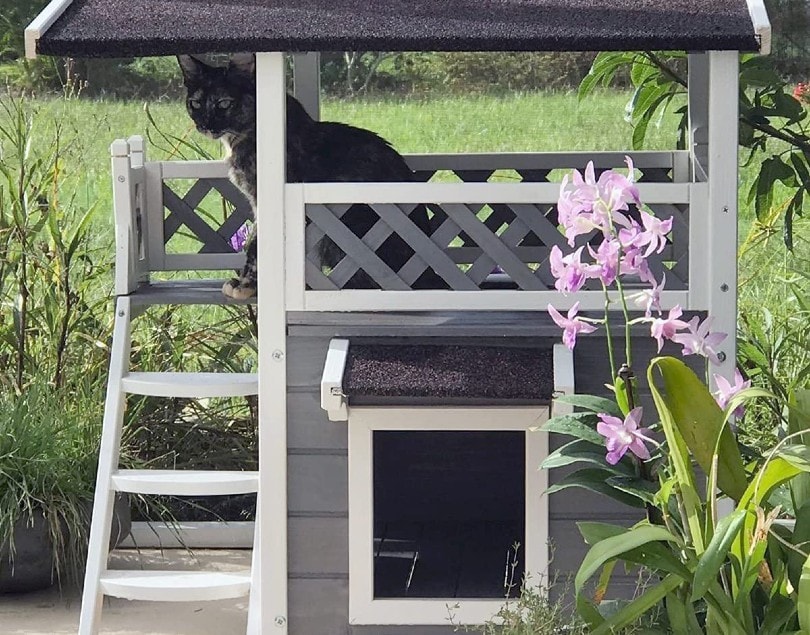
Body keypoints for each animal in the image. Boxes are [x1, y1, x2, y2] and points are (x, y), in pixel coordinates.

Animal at [177, 54, 436, 298]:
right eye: (195, 103)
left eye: (224, 103)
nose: (205, 124)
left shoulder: (266, 199)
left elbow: (257, 244)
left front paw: (248, 284)